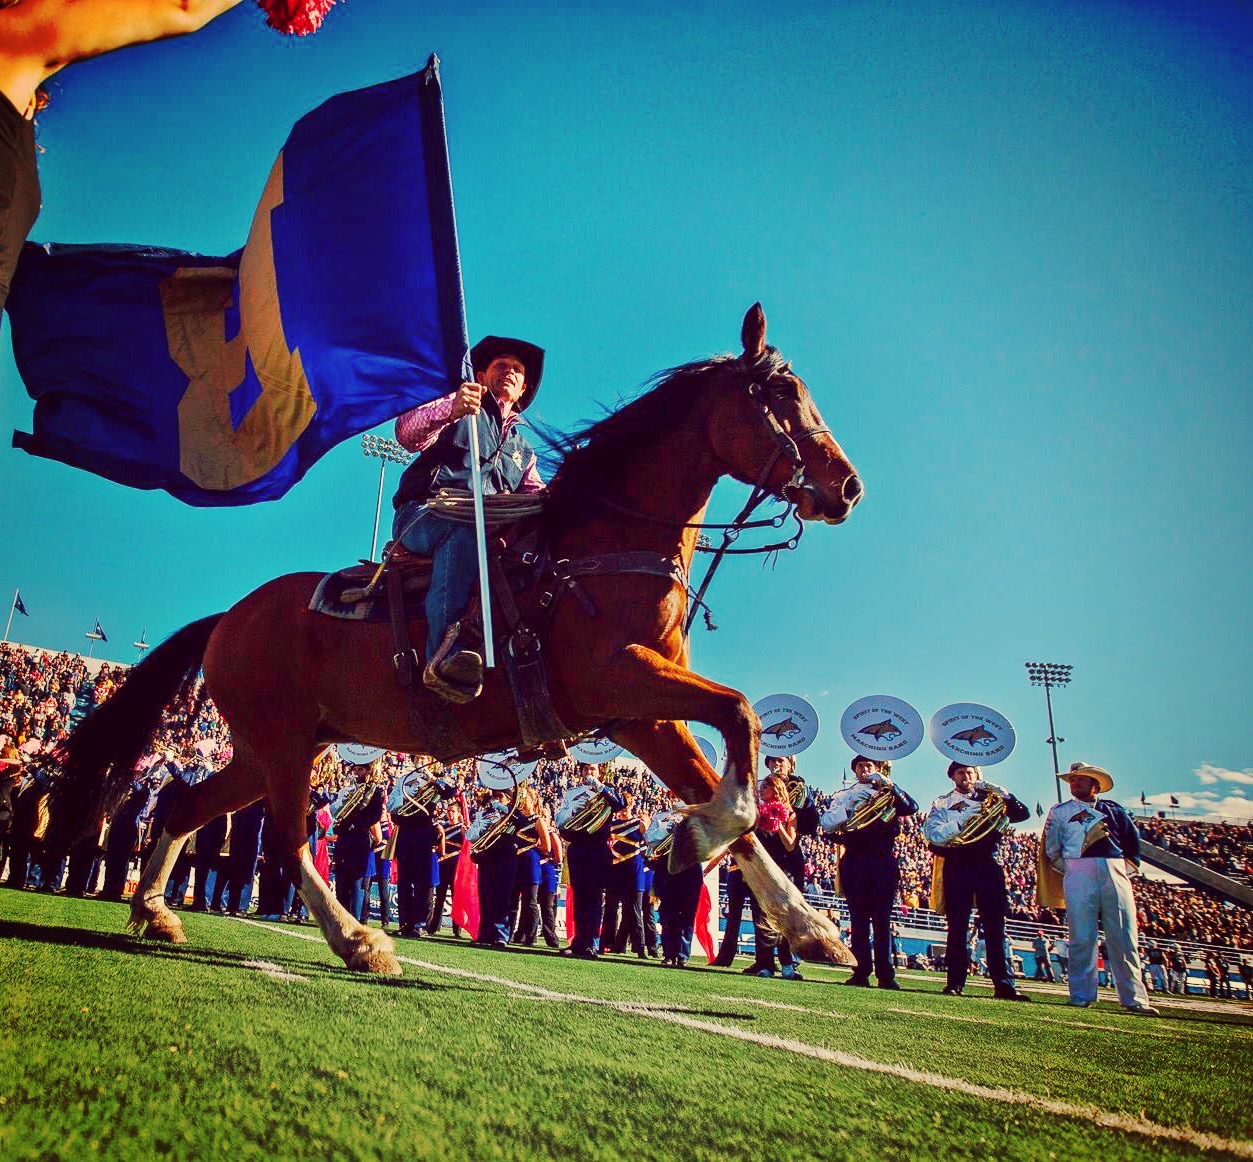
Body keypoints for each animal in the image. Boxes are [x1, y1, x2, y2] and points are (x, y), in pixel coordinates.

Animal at [51, 304, 862, 977]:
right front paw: (702, 840)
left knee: (188, 807)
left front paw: (809, 927)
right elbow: (742, 719)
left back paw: (154, 912)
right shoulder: (620, 678)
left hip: (272, 746)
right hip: (281, 746)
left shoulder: (640, 714)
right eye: (781, 394)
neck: (597, 550)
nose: (847, 487)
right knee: (284, 838)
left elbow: (725, 779)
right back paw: (360, 940)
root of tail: (228, 617)